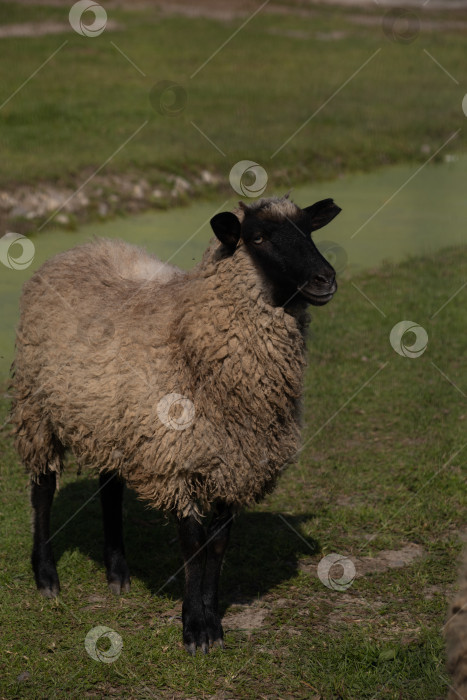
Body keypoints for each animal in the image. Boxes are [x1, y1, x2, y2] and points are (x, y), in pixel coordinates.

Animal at [10, 194, 340, 652]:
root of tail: (84, 246)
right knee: (42, 488)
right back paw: (46, 577)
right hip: (37, 407)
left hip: (112, 420)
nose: (325, 279)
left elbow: (217, 546)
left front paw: (213, 623)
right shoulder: (177, 461)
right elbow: (193, 546)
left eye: (309, 230)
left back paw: (118, 573)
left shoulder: (234, 463)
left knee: (109, 490)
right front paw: (194, 628)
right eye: (258, 238)